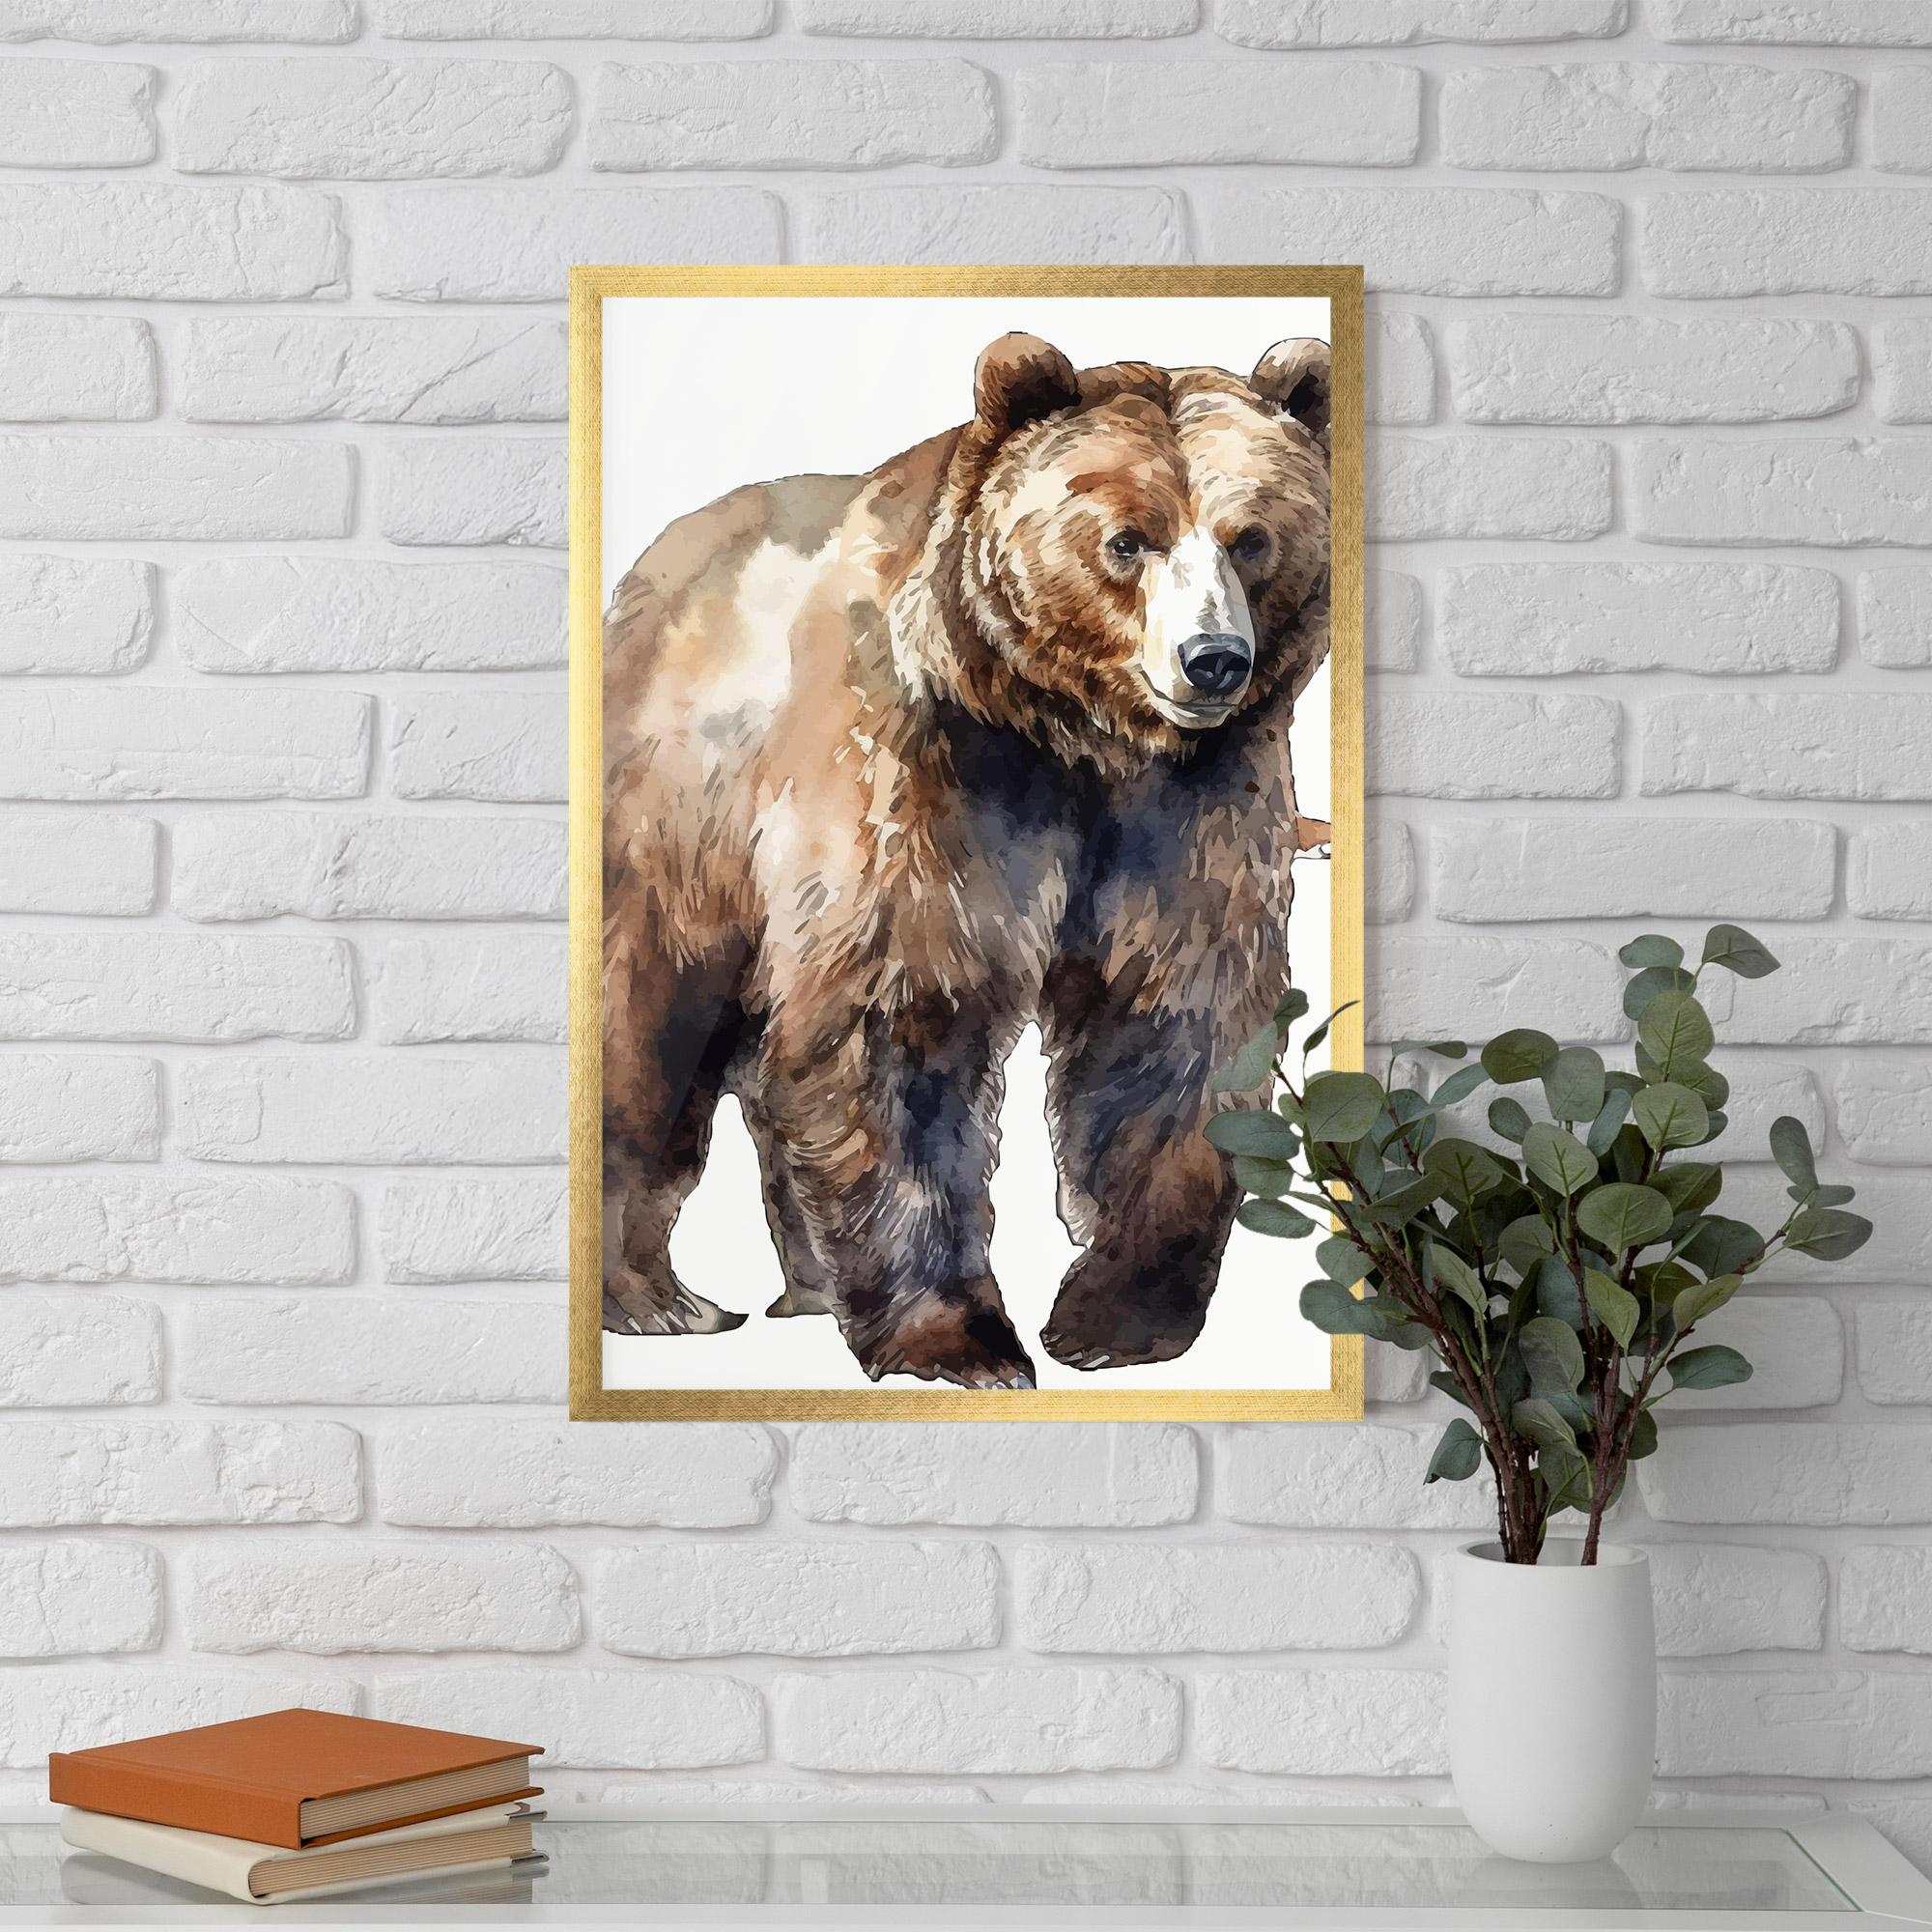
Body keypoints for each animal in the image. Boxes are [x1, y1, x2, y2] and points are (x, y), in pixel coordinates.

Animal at [601, 331, 1333, 1389]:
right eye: (1129, 539)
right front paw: (960, 1342)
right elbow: (900, 1024)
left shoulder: (1190, 810)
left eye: (1250, 537)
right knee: (652, 1030)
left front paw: (1115, 1317)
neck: (1081, 737)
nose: (1212, 661)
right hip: (680, 826)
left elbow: (1172, 1024)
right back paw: (657, 1298)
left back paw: (808, 1285)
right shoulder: (928, 776)